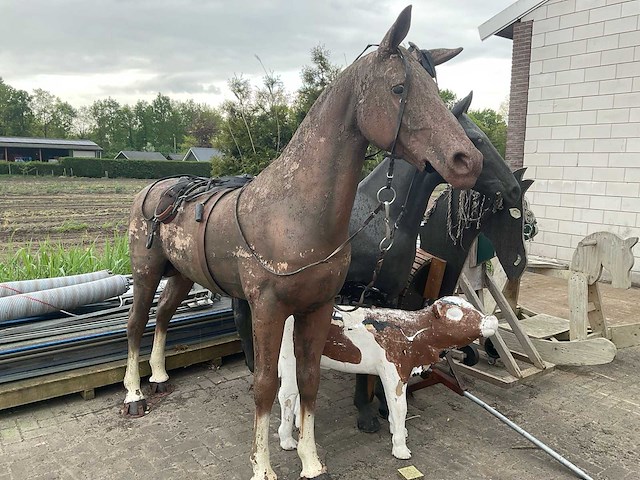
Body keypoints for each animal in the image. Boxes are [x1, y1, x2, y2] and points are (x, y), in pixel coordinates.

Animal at [123, 6, 483, 480]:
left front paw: (311, 461)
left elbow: (309, 381)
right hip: (146, 272)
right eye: (399, 88)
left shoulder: (318, 306)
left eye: (437, 90)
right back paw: (134, 396)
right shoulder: (268, 310)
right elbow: (265, 384)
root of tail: (153, 190)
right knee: (135, 325)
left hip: (181, 275)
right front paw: (263, 466)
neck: (294, 216)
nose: (468, 161)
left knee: (163, 316)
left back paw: (161, 377)